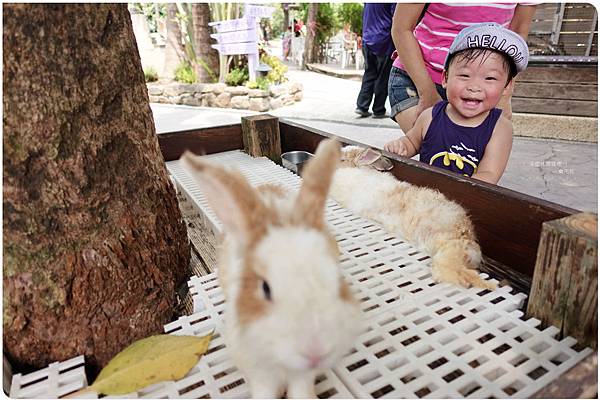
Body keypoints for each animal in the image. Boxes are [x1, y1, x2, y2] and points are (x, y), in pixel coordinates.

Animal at [180, 140, 364, 396]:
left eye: (337, 280)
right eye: (265, 289)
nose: (316, 351)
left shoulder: (303, 376)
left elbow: (301, 391)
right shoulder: (259, 372)